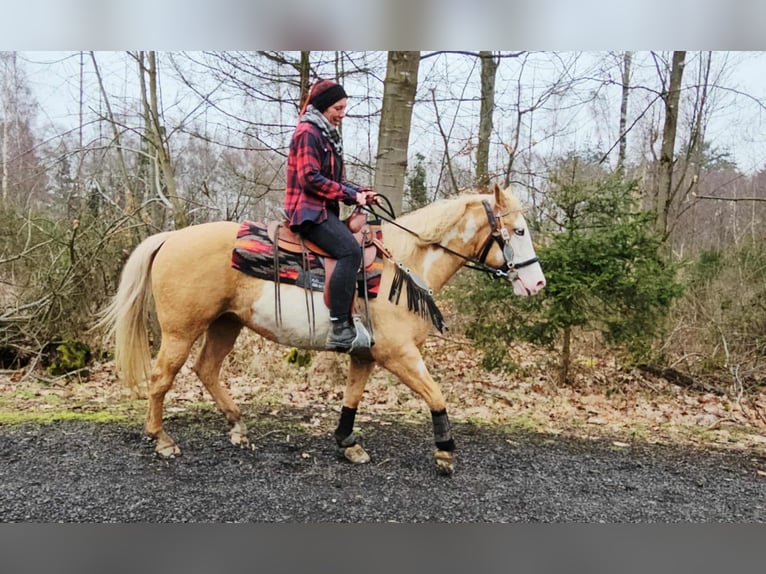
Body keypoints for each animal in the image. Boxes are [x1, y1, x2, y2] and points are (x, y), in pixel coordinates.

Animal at [97, 183, 545, 475]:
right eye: (519, 230)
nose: (537, 283)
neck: (403, 263)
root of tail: (170, 237)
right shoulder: (398, 353)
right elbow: (436, 395)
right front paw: (445, 452)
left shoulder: (366, 354)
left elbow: (352, 398)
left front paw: (348, 443)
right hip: (181, 330)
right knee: (162, 378)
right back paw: (162, 440)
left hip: (226, 324)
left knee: (206, 370)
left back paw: (238, 428)